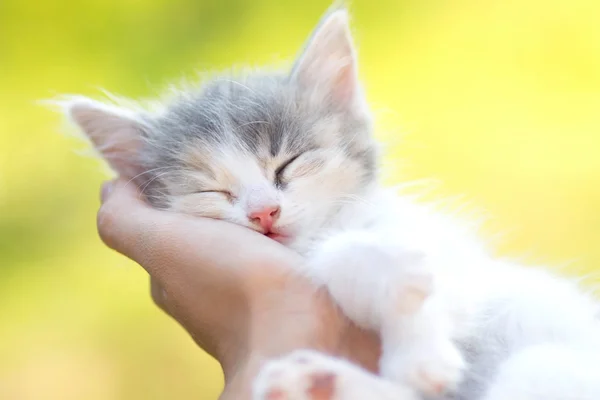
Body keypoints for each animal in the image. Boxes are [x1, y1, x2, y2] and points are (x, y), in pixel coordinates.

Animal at [57, 5, 600, 400]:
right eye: (212, 191)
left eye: (288, 164)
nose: (263, 212)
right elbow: (343, 259)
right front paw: (393, 282)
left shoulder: (458, 263)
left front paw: (417, 348)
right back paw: (319, 382)